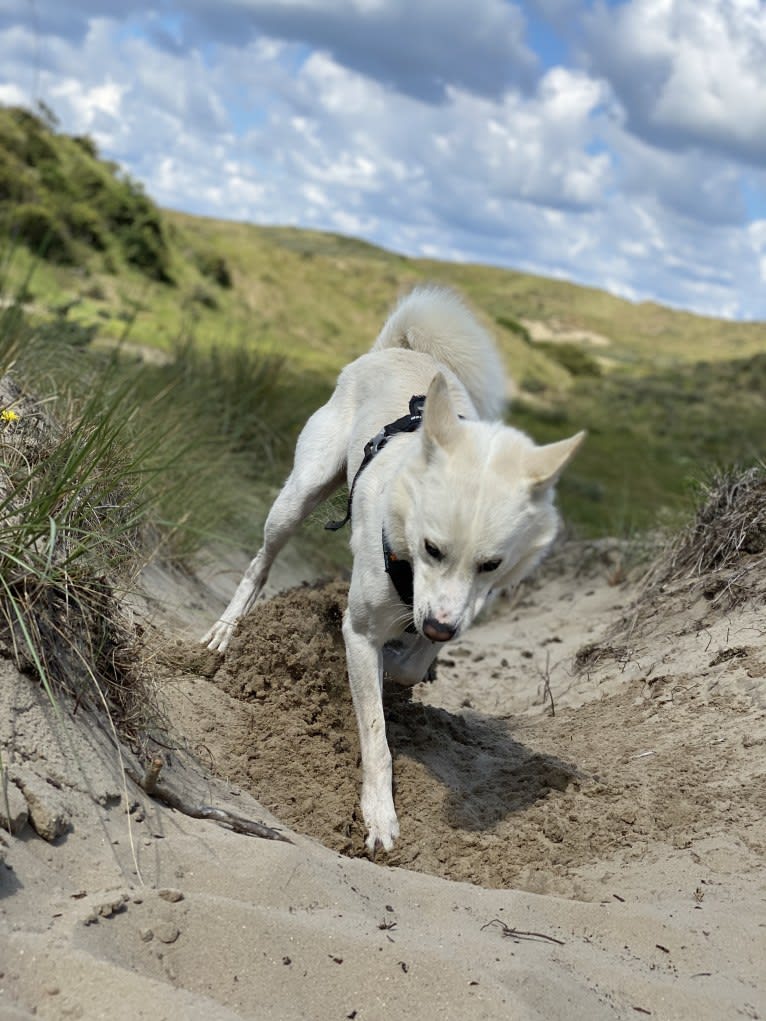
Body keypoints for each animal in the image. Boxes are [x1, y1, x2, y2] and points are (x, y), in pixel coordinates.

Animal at [201, 285, 584, 853]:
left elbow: (410, 664)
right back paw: (225, 631)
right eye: (431, 547)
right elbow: (375, 736)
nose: (438, 627)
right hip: (296, 497)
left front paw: (404, 666)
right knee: (259, 564)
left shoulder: (455, 610)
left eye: (491, 564)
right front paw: (380, 817)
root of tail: (391, 351)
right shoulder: (360, 631)